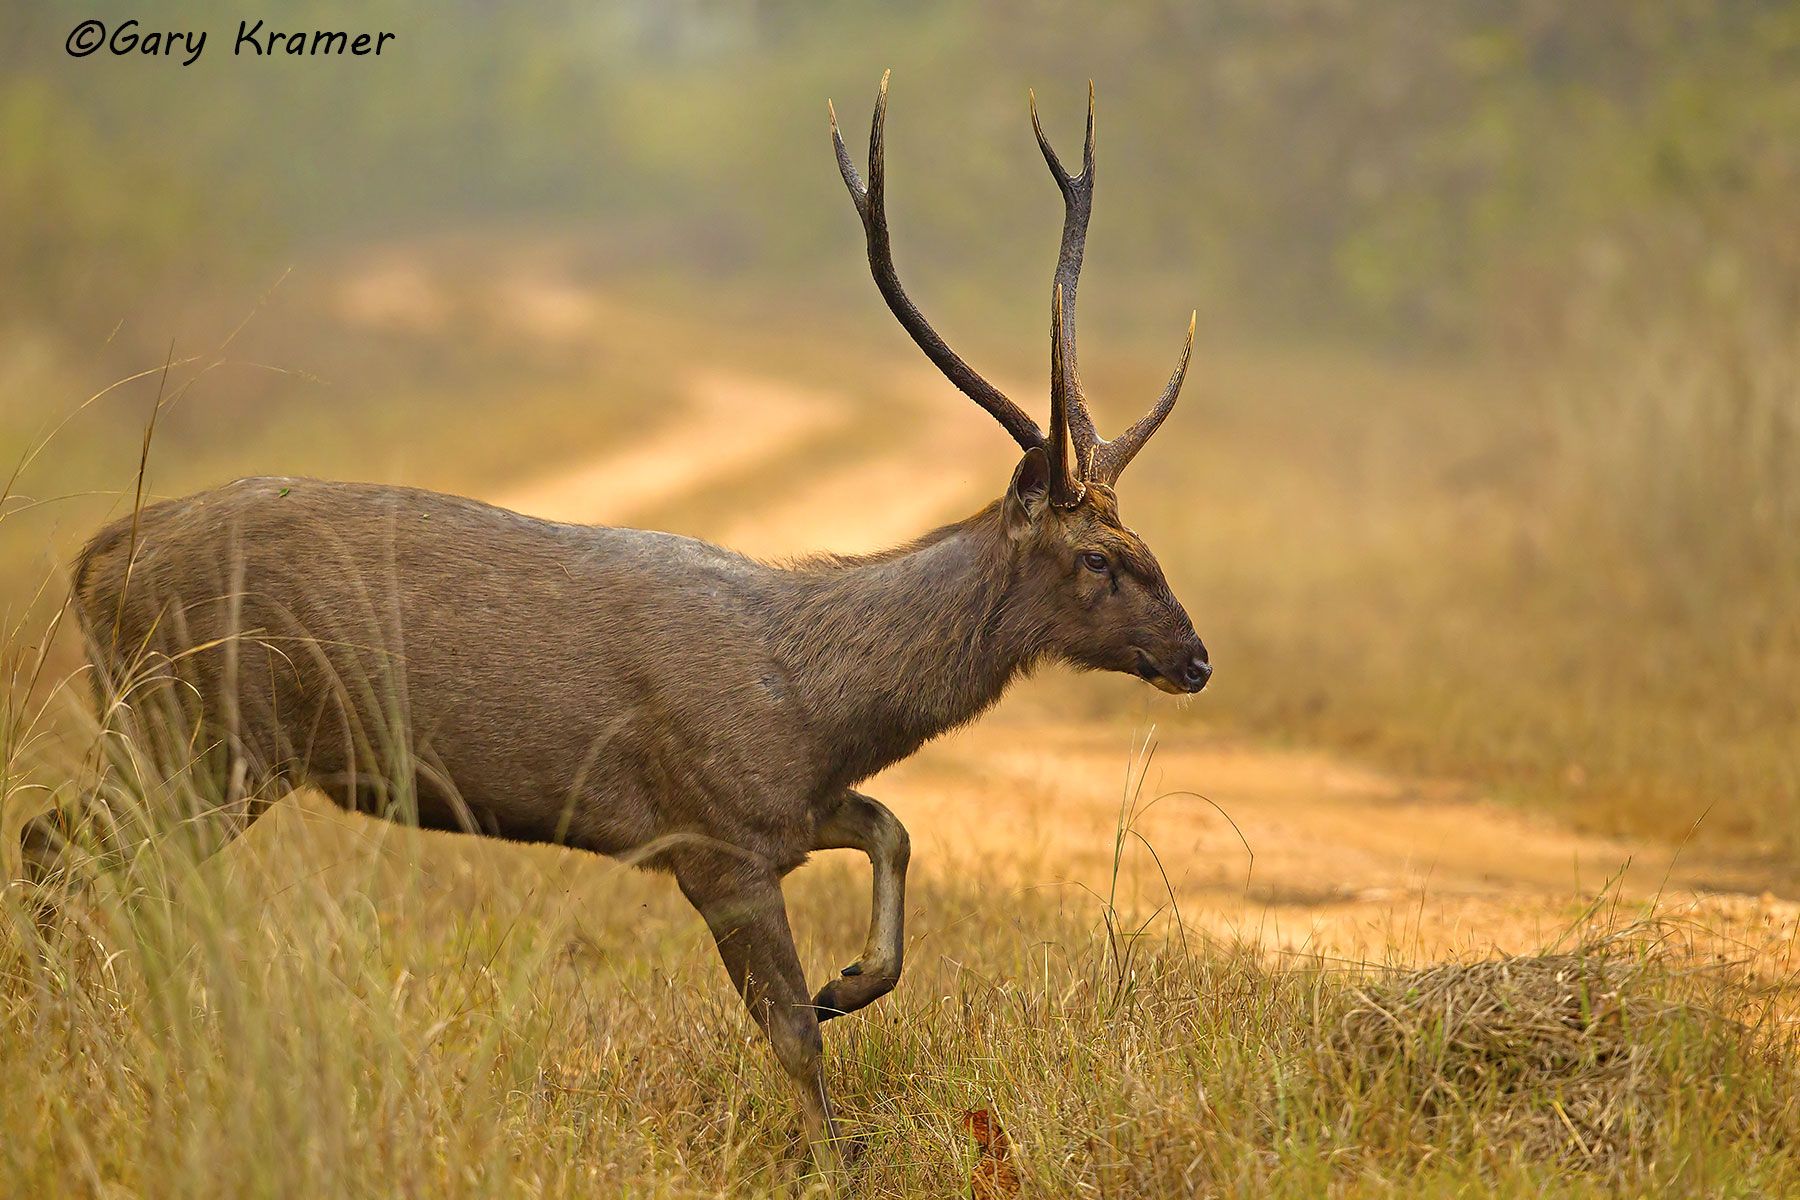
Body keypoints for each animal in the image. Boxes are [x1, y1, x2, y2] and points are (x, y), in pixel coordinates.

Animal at [25, 73, 1209, 1173]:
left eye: (1146, 542)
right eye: (1100, 560)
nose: (1196, 659)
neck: (815, 699)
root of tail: (93, 562)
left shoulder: (778, 812)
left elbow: (893, 831)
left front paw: (854, 980)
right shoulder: (711, 831)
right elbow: (791, 1034)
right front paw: (835, 1153)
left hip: (190, 741)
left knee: (69, 846)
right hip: (198, 728)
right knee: (64, 847)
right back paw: (73, 1024)